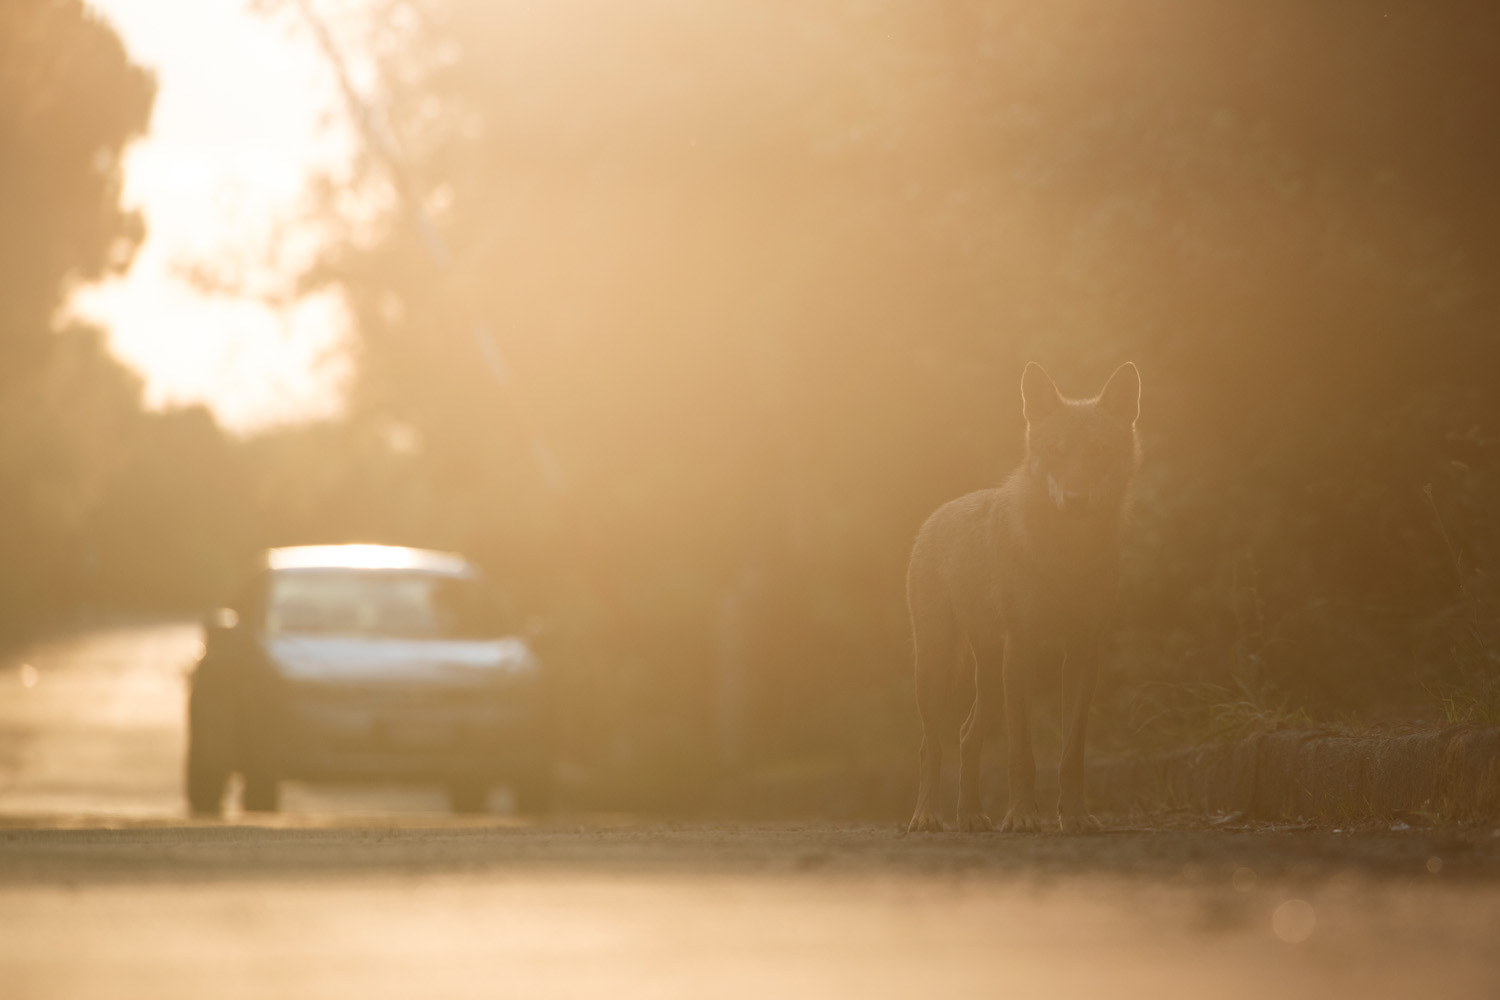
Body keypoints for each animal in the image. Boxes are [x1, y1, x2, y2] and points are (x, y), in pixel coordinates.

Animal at [906, 364, 1140, 833]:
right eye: (1056, 451)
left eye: (1100, 451)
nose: (1075, 500)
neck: (1068, 560)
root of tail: (934, 516)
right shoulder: (1023, 649)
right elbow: (1022, 754)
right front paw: (1021, 816)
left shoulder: (1083, 653)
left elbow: (1072, 753)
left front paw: (1077, 816)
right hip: (939, 667)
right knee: (930, 745)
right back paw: (927, 816)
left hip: (992, 678)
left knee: (966, 735)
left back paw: (971, 815)